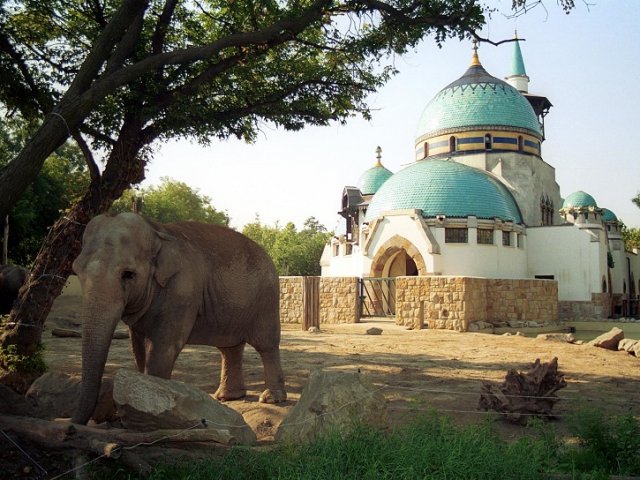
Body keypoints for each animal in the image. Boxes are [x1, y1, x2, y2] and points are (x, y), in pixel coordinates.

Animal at [70, 213, 288, 424]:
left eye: (128, 274)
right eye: (77, 271)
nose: (73, 423)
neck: (156, 231)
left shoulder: (182, 290)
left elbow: (164, 347)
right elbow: (138, 348)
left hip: (266, 300)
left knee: (266, 344)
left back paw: (271, 399)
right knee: (230, 347)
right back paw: (227, 397)